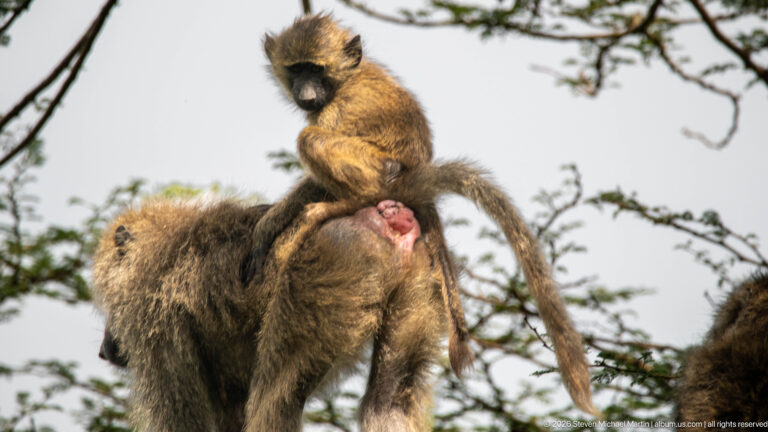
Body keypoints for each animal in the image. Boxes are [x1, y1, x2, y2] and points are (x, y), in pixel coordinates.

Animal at [93, 199, 446, 431]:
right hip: (418, 268)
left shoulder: (153, 324)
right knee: (388, 401)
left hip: (331, 260)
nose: (103, 349)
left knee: (275, 401)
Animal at [242, 14, 598, 415]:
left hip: (383, 172)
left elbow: (316, 157)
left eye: (316, 69)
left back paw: (340, 205)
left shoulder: (335, 110)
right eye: (296, 69)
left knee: (315, 143)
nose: (306, 93)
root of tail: (414, 176)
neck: (346, 79)